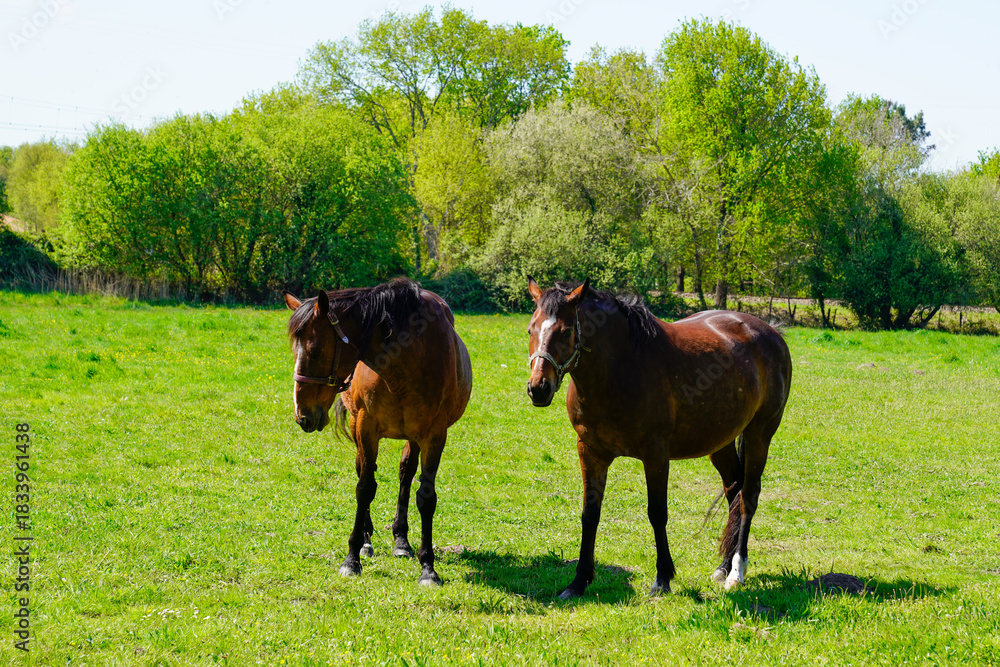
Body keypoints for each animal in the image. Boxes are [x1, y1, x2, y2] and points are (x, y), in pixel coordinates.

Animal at [284, 278, 472, 586]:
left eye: (315, 351)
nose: (303, 415)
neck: (407, 361)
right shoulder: (366, 427)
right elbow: (364, 488)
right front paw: (352, 557)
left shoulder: (434, 434)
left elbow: (426, 497)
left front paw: (428, 567)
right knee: (364, 469)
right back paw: (366, 541)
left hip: (413, 437)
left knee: (406, 474)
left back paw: (401, 540)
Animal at [525, 277, 792, 599]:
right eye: (531, 329)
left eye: (565, 331)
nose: (538, 388)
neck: (621, 369)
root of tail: (771, 332)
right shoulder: (590, 452)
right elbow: (590, 514)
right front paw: (579, 581)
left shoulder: (655, 455)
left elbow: (657, 513)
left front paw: (663, 578)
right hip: (721, 442)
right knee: (734, 493)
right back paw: (724, 566)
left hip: (759, 434)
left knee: (748, 498)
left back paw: (736, 572)